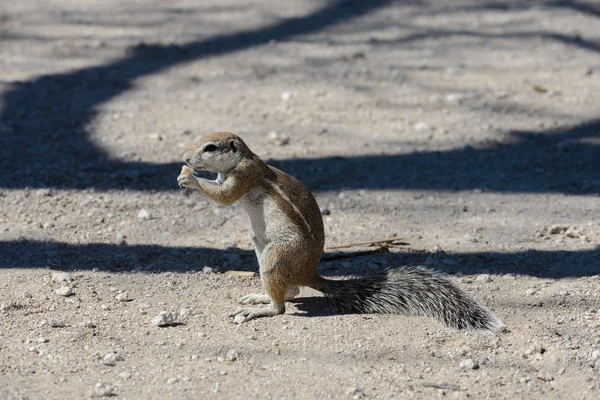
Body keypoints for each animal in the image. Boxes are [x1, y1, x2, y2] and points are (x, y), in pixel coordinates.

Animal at [176, 133, 504, 332]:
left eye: (210, 147)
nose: (185, 158)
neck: (242, 158)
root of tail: (309, 273)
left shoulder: (244, 176)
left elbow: (224, 196)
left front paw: (190, 178)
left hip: (275, 255)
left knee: (282, 305)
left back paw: (261, 310)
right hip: (259, 246)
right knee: (292, 291)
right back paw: (259, 297)